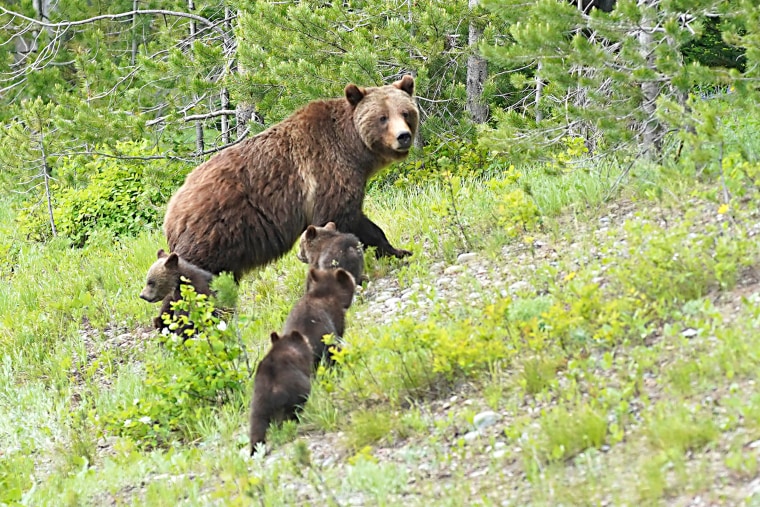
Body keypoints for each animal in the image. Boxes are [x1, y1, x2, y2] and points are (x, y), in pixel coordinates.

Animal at [163, 75, 418, 282]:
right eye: (382, 117)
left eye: (406, 112)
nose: (403, 136)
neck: (354, 150)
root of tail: (170, 211)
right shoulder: (327, 173)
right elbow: (341, 217)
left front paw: (399, 251)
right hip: (216, 231)